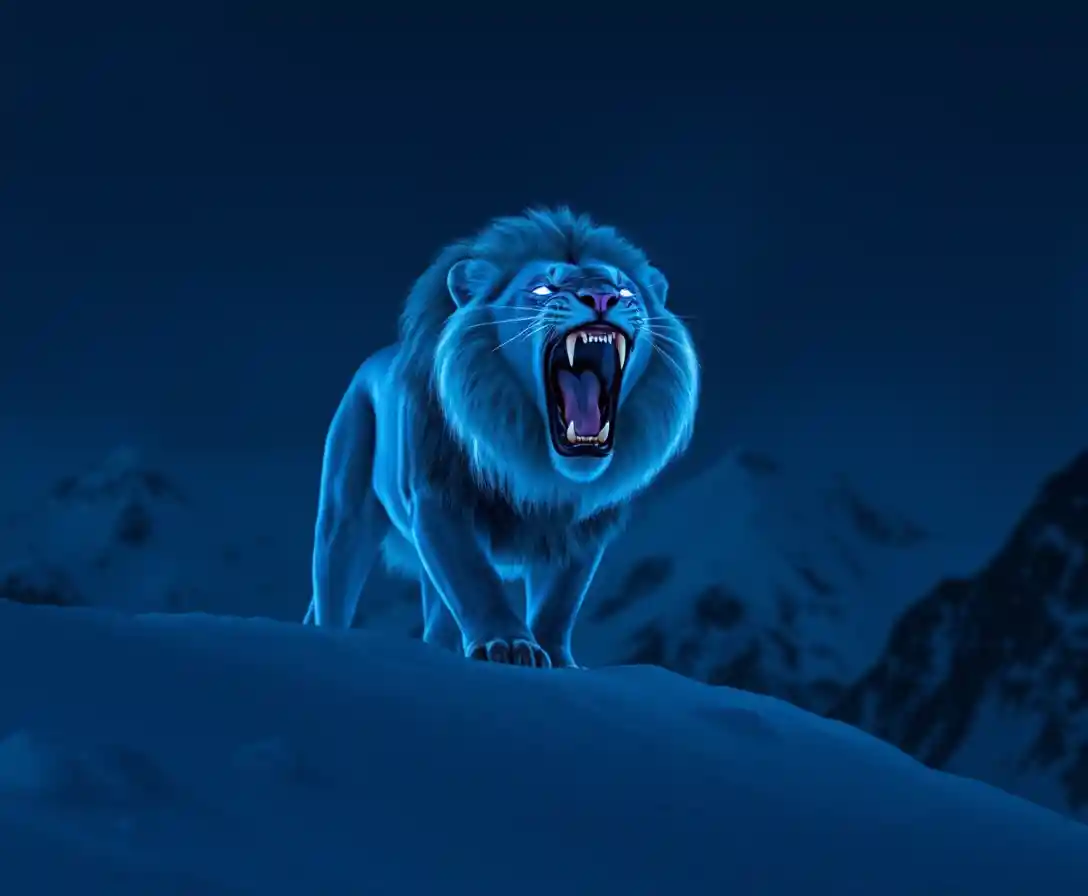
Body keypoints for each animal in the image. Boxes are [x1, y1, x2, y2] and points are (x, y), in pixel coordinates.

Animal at [303, 207, 699, 668]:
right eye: (544, 287)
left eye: (625, 290)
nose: (602, 298)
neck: (535, 464)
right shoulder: (436, 498)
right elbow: (473, 580)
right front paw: (508, 647)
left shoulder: (579, 530)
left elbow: (559, 603)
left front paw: (558, 659)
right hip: (343, 507)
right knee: (333, 585)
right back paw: (332, 642)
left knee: (437, 619)